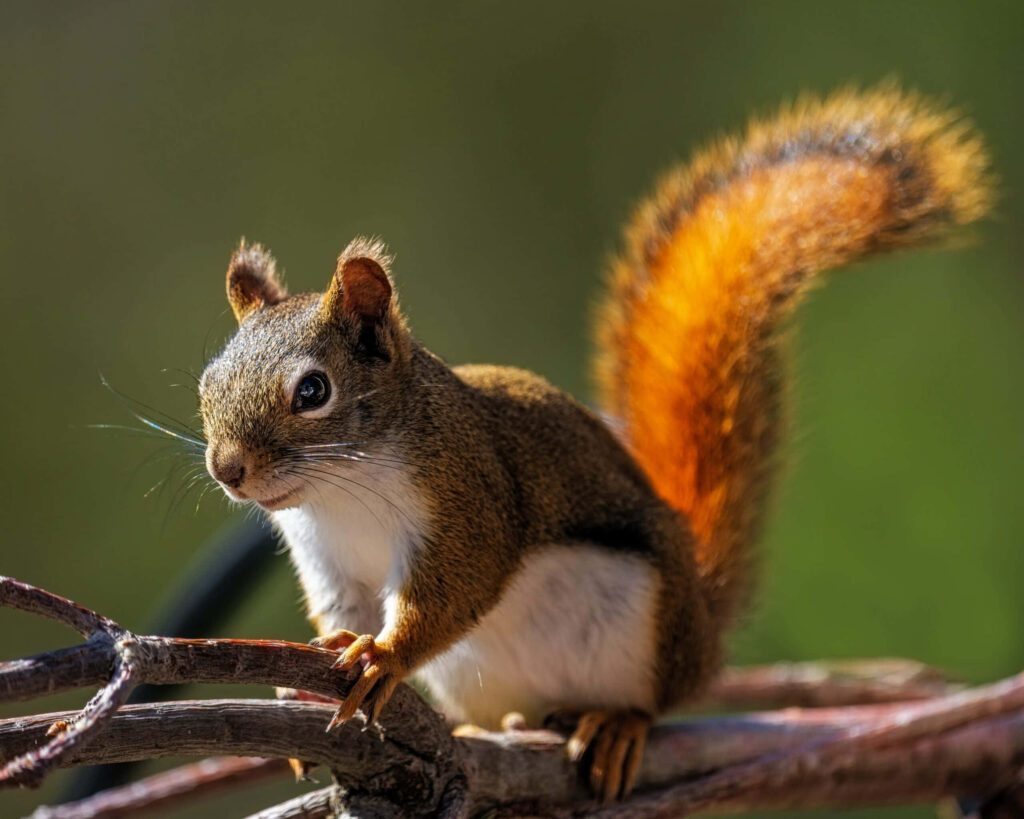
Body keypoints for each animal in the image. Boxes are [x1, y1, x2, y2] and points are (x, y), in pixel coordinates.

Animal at [197, 86, 991, 802]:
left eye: (313, 391)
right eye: (207, 382)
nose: (228, 470)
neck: (341, 492)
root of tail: (702, 628)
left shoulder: (471, 497)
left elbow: (457, 588)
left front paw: (384, 654)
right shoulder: (330, 561)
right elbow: (342, 612)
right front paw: (308, 685)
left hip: (645, 629)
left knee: (650, 701)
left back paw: (614, 725)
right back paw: (491, 730)